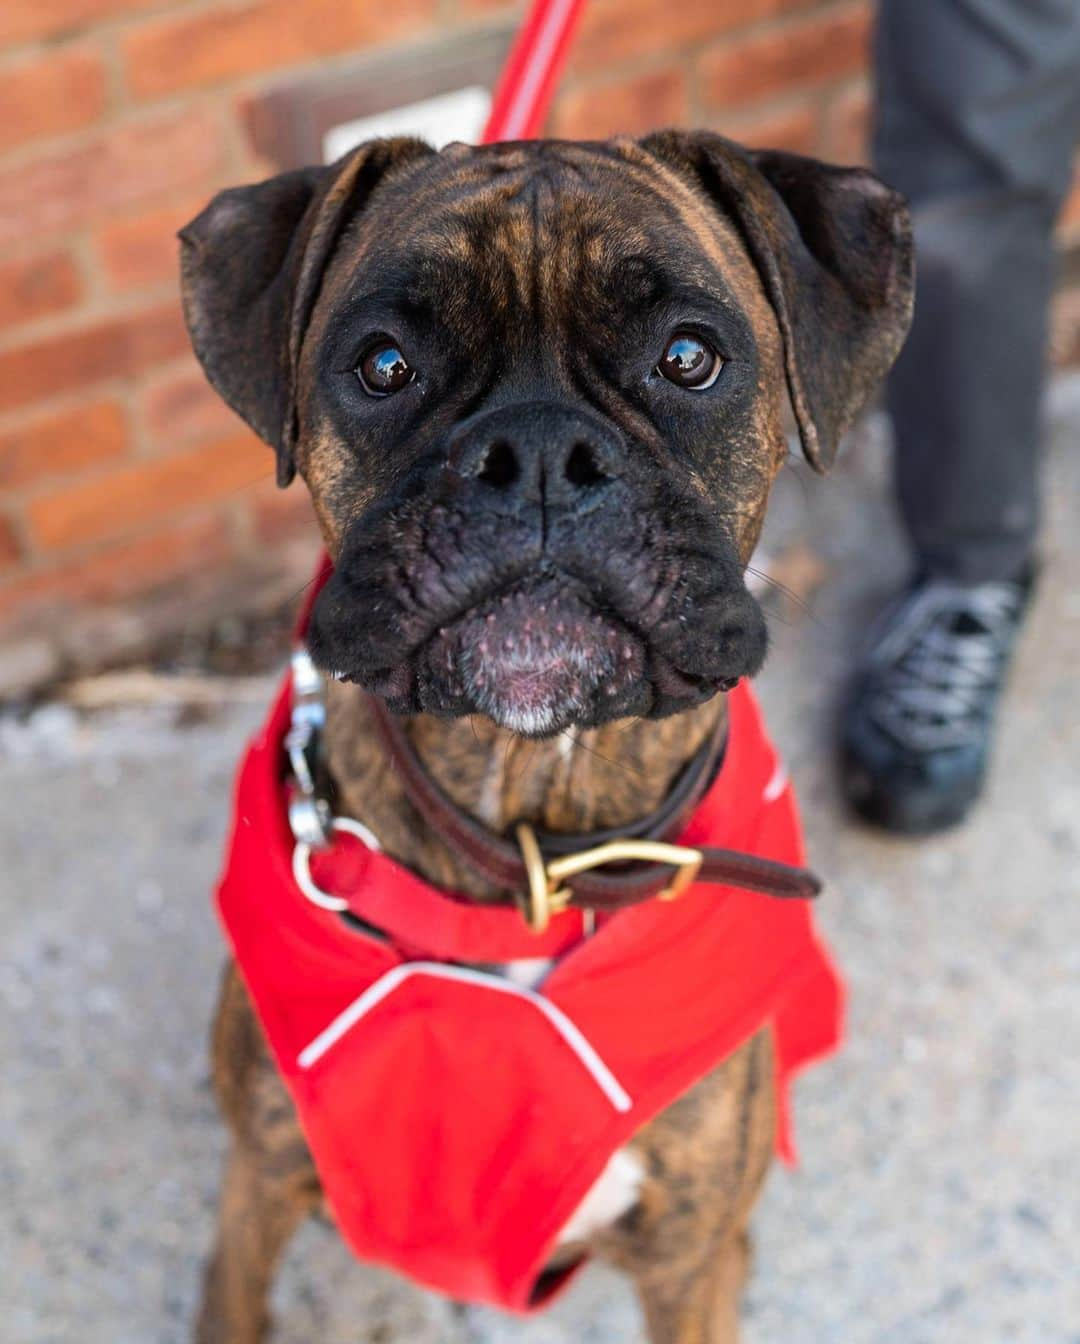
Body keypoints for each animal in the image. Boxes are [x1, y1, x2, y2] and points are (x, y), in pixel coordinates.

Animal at [184, 133, 913, 1344]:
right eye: (383, 364)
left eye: (688, 357)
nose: (534, 450)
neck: (535, 830)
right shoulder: (254, 1194)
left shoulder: (684, 1264)